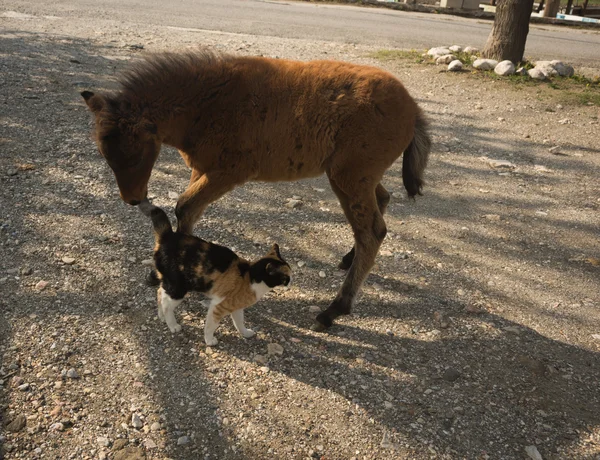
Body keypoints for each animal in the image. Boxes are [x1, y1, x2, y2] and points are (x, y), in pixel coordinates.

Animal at [139, 199, 292, 344]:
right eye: (286, 277)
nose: (291, 282)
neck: (250, 276)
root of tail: (168, 236)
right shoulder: (218, 306)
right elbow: (210, 325)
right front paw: (209, 340)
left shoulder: (237, 307)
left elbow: (239, 322)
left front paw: (245, 333)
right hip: (178, 288)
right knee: (166, 304)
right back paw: (172, 324)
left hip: (169, 282)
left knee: (160, 292)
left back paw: (161, 316)